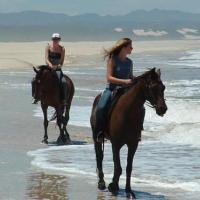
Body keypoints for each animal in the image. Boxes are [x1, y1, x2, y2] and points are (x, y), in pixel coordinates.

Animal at [90, 68, 167, 198]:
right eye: (152, 87)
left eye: (163, 88)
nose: (163, 109)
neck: (128, 112)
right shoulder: (116, 144)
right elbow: (118, 167)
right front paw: (113, 187)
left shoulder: (133, 144)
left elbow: (128, 168)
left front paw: (128, 191)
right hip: (96, 137)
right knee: (99, 156)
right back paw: (101, 183)